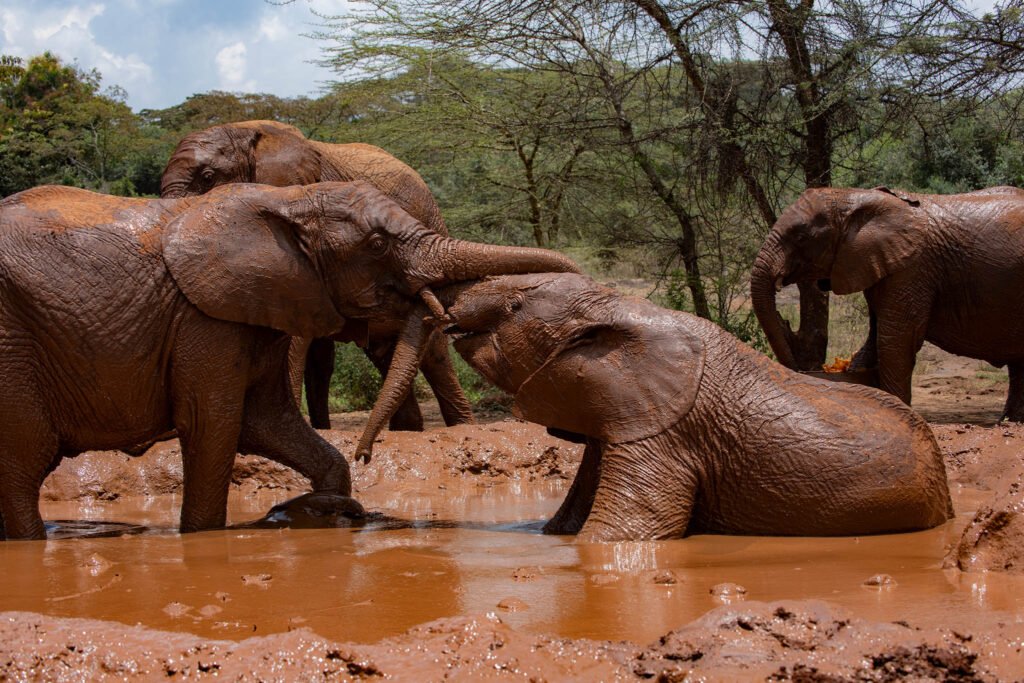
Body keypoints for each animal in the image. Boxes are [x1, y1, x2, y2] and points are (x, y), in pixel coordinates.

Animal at [0, 180, 577, 540]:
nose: (368, 453)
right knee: (21, 467)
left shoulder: (267, 305)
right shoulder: (204, 317)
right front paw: (205, 539)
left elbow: (268, 420)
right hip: (12, 346)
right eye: (376, 243)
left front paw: (324, 508)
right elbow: (214, 427)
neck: (288, 201)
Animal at [749, 187, 1024, 421]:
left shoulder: (911, 268)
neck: (853, 197)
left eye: (801, 236)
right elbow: (874, 339)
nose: (799, 370)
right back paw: (1009, 421)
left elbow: (893, 340)